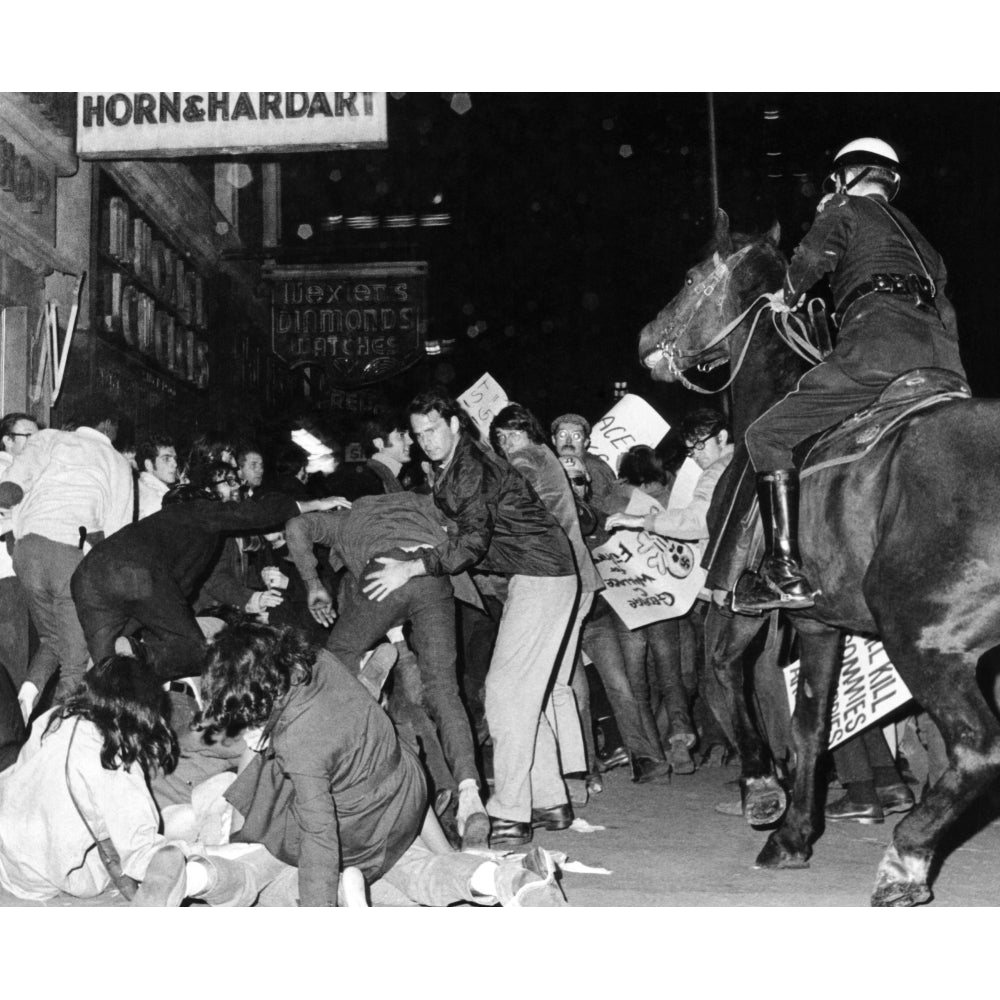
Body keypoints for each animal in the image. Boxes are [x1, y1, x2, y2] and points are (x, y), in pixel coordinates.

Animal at [636, 211, 1000, 908]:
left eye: (691, 277)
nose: (646, 338)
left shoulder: (736, 602)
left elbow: (728, 680)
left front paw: (763, 794)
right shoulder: (820, 623)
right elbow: (810, 725)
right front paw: (795, 834)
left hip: (922, 639)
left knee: (976, 750)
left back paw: (905, 861)